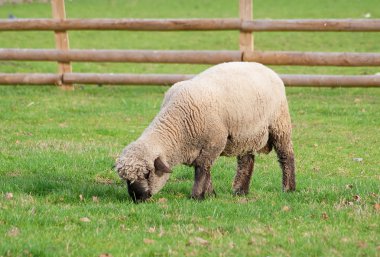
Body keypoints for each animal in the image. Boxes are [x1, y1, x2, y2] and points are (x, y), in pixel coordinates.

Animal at [114, 61, 296, 201]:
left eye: (147, 174)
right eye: (126, 180)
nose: (137, 198)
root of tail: (264, 67)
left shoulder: (214, 142)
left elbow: (202, 168)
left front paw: (197, 196)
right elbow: (204, 170)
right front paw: (210, 194)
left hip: (280, 123)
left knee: (286, 156)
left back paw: (289, 189)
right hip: (245, 134)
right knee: (246, 161)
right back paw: (240, 191)